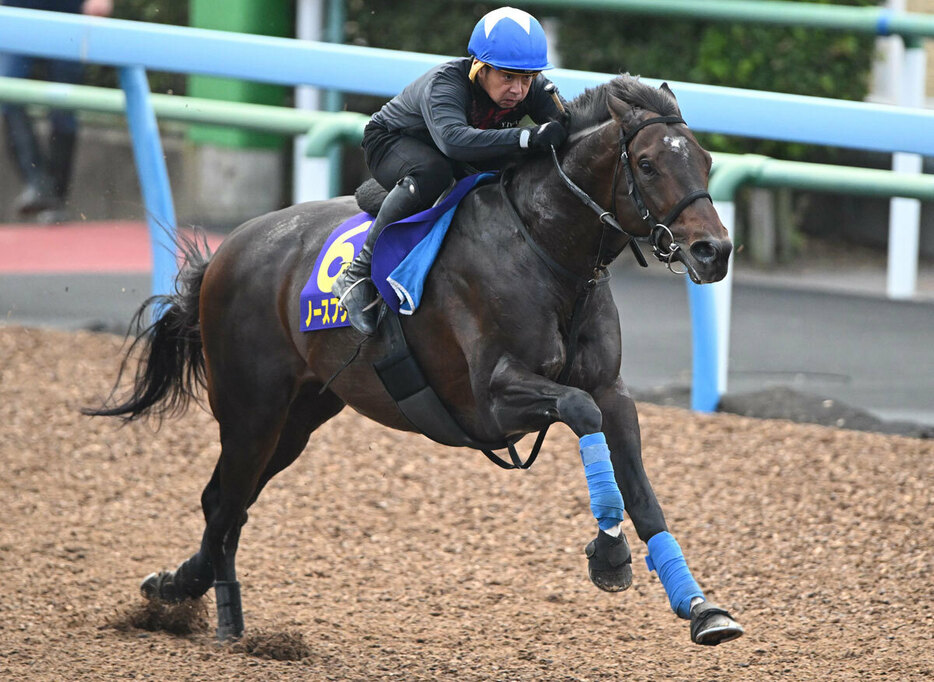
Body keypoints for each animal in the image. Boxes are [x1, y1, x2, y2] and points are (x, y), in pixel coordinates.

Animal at [88, 74, 744, 644]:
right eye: (648, 164)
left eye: (706, 161)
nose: (713, 251)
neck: (543, 246)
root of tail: (228, 252)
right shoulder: (492, 399)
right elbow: (580, 411)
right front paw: (608, 552)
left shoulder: (613, 390)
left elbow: (641, 492)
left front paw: (701, 608)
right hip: (251, 408)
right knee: (223, 501)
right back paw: (212, 610)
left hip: (300, 416)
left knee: (232, 503)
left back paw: (184, 591)